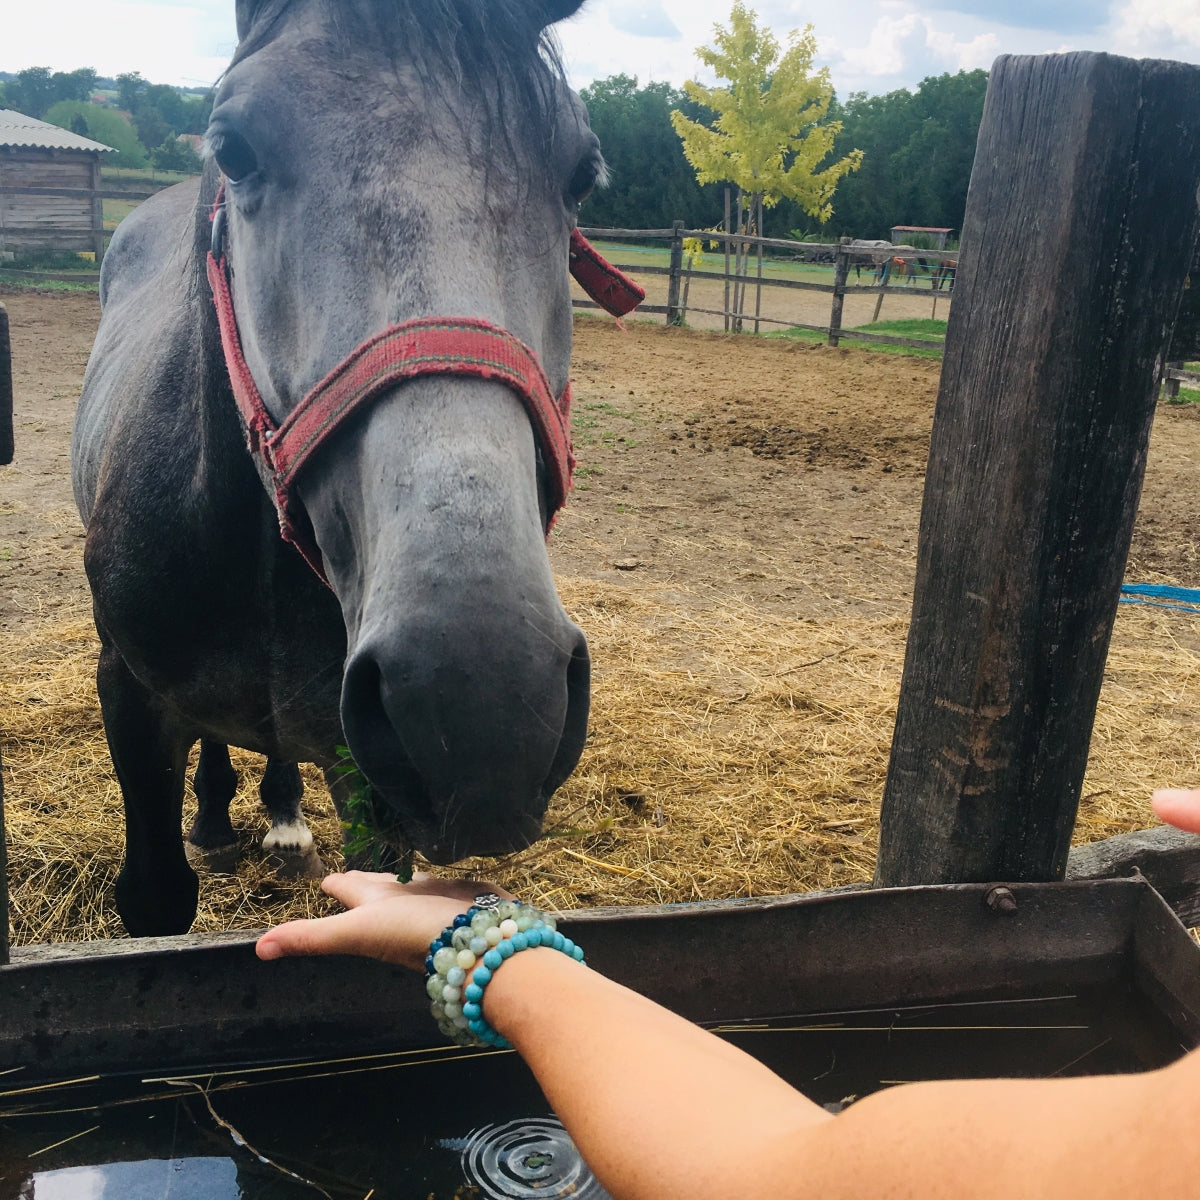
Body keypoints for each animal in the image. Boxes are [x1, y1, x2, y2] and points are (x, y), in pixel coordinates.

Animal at [71, 0, 628, 936]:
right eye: (234, 150)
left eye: (581, 175)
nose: (479, 700)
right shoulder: (130, 696)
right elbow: (154, 895)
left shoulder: (366, 772)